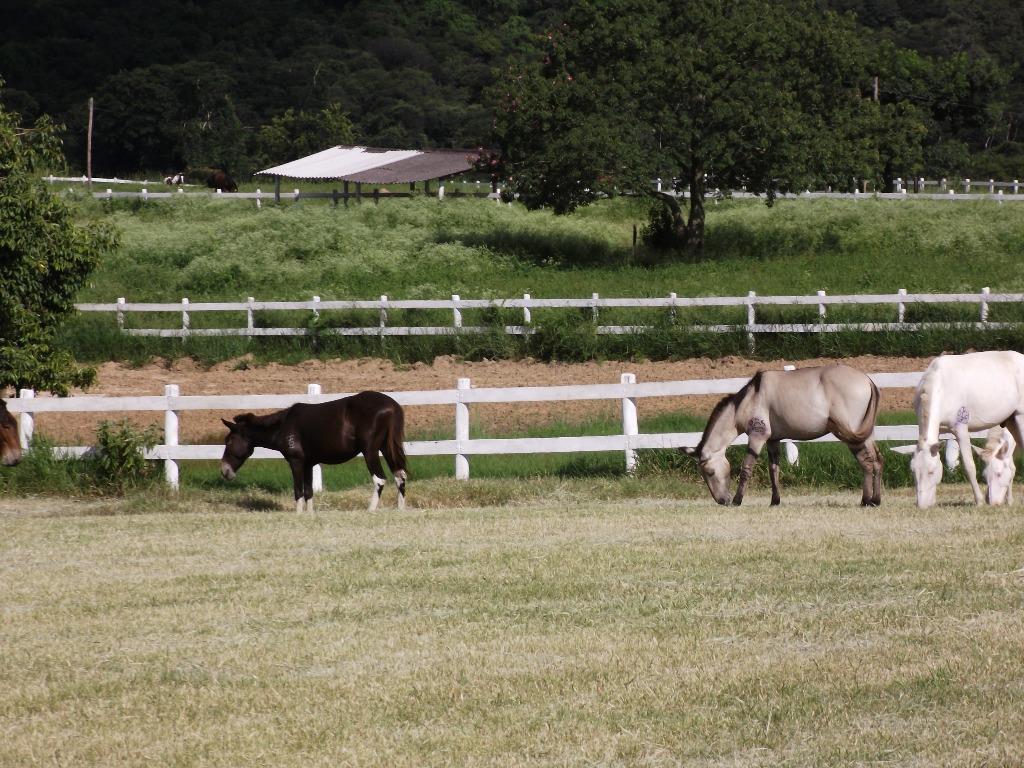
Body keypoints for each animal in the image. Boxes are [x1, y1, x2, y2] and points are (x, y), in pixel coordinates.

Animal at [222, 393, 405, 514]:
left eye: (229, 441)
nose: (224, 470)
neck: (283, 425)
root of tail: (392, 406)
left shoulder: (296, 462)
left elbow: (298, 490)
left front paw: (298, 515)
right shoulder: (309, 464)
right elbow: (309, 491)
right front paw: (309, 515)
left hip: (370, 451)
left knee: (380, 479)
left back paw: (371, 509)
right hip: (387, 448)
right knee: (400, 476)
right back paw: (400, 509)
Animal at [679, 364, 880, 505]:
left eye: (710, 472)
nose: (722, 501)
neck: (746, 401)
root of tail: (867, 380)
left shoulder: (757, 436)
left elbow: (746, 468)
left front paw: (738, 500)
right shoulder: (773, 440)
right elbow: (773, 469)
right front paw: (775, 501)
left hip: (853, 436)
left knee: (866, 463)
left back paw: (867, 500)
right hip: (865, 433)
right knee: (876, 460)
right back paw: (874, 500)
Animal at [913, 350, 1024, 507]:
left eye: (931, 471)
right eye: (914, 472)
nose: (921, 506)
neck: (940, 385)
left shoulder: (960, 429)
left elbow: (969, 466)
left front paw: (979, 501)